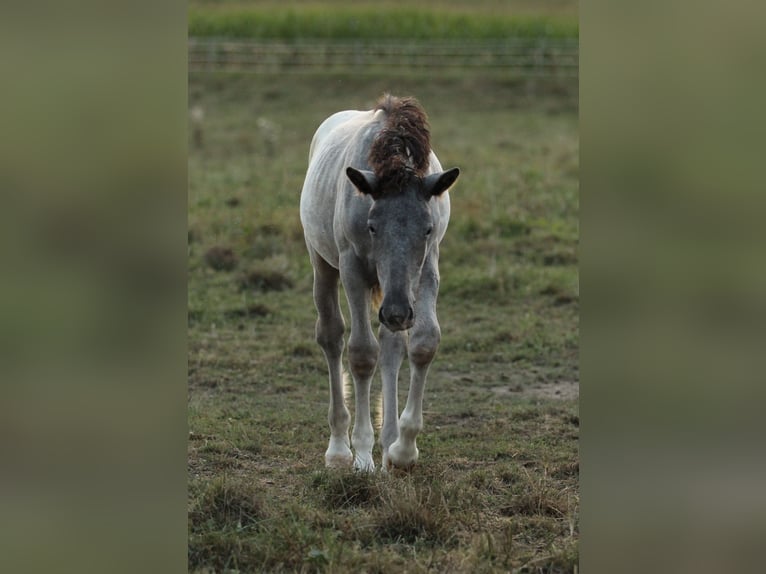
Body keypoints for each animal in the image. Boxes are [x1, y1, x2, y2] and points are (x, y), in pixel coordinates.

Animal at [300, 94, 460, 472]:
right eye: (372, 227)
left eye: (427, 229)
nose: (398, 313)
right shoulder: (353, 268)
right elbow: (361, 353)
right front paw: (361, 454)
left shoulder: (427, 268)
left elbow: (423, 342)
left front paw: (403, 449)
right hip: (323, 263)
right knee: (332, 336)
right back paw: (340, 449)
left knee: (391, 345)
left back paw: (388, 442)